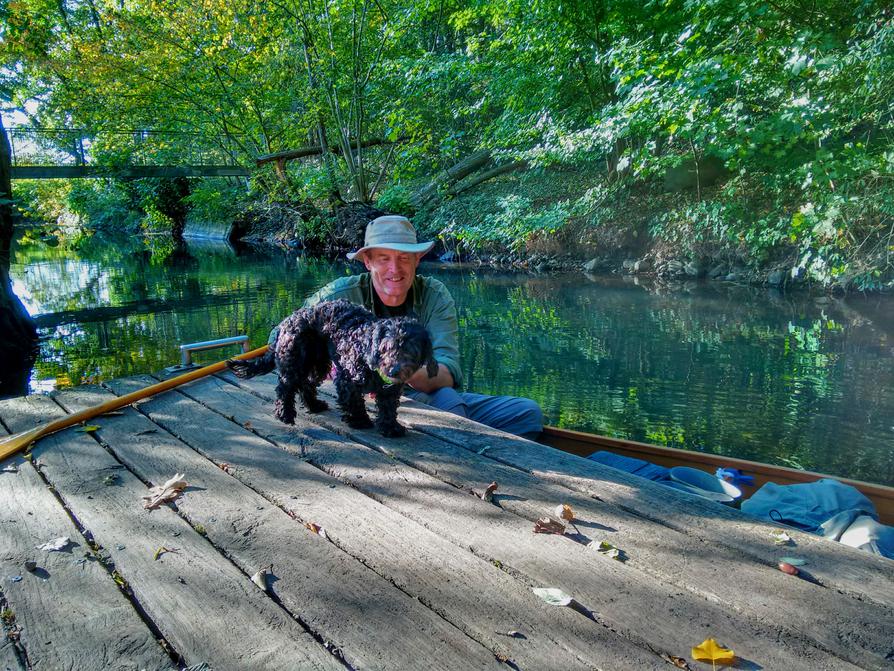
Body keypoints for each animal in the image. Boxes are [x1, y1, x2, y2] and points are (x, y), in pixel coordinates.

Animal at [226, 300, 440, 438]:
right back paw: (284, 414)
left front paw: (390, 427)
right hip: (295, 361)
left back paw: (314, 405)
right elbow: (354, 402)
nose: (393, 371)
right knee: (285, 388)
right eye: (386, 347)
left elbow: (388, 407)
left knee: (306, 384)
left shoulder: (390, 390)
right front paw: (359, 421)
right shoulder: (347, 380)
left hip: (317, 362)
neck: (365, 348)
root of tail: (287, 321)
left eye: (411, 351)